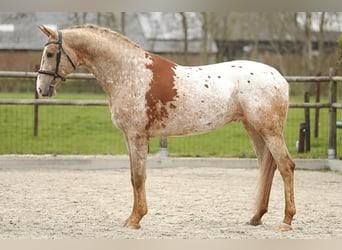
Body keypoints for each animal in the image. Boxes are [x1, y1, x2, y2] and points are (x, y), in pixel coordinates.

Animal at [36, 24, 296, 231]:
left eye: (50, 53)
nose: (41, 88)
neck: (130, 73)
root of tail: (280, 79)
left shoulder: (137, 136)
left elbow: (138, 177)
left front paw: (135, 219)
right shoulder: (129, 137)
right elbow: (134, 176)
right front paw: (132, 217)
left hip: (269, 130)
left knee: (285, 166)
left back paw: (286, 221)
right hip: (254, 128)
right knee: (268, 165)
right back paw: (255, 217)